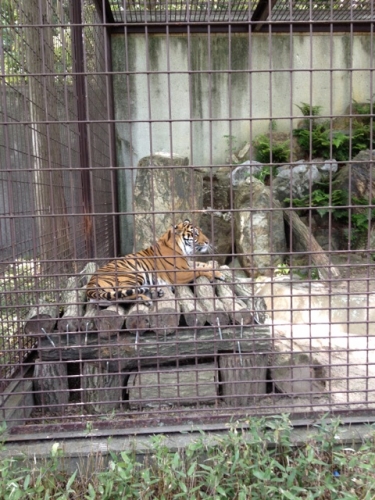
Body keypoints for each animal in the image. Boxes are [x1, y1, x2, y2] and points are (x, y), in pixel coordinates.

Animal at [86, 221, 225, 306]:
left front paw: (218, 271)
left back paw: (155, 292)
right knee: (123, 294)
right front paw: (214, 274)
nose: (208, 241)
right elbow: (199, 269)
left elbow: (201, 264)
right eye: (195, 234)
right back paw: (147, 299)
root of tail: (90, 285)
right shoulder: (180, 273)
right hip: (132, 274)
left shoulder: (187, 265)